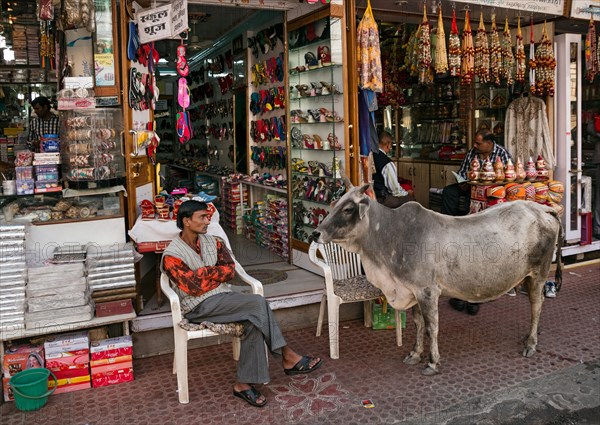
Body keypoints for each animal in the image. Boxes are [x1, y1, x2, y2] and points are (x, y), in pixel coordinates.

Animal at [314, 182, 564, 374]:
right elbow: (418, 323)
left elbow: (431, 326)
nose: (316, 233)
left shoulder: (428, 291)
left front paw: (432, 362)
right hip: (527, 277)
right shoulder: (412, 290)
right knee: (536, 305)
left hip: (539, 273)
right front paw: (415, 354)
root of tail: (540, 208)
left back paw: (531, 344)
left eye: (348, 209)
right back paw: (532, 335)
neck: (393, 236)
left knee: (536, 305)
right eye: (334, 204)